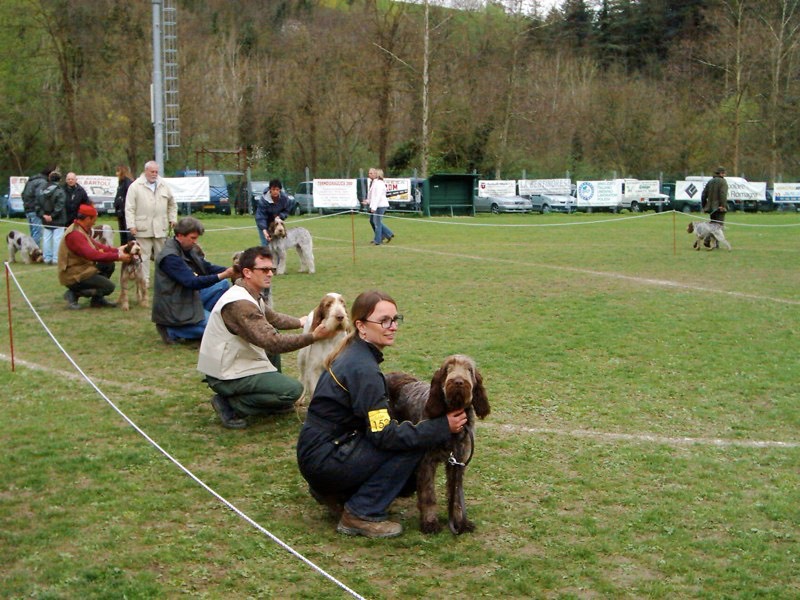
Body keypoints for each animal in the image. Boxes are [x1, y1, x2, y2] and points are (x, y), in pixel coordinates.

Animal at [386, 356, 490, 536]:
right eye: (448, 369)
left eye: (469, 369)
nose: (458, 382)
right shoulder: (427, 462)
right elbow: (428, 495)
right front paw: (430, 522)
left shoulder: (458, 462)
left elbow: (456, 496)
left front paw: (460, 521)